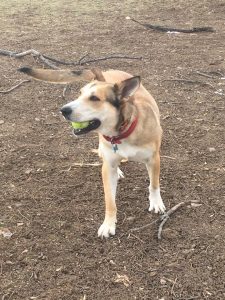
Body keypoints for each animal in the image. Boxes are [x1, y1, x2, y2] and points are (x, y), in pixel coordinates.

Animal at [18, 67, 165, 238]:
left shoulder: (154, 159)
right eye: (79, 93)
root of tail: (105, 72)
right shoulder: (108, 167)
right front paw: (108, 224)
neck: (122, 132)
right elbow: (110, 200)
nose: (63, 110)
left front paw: (156, 203)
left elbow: (153, 185)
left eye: (94, 98)